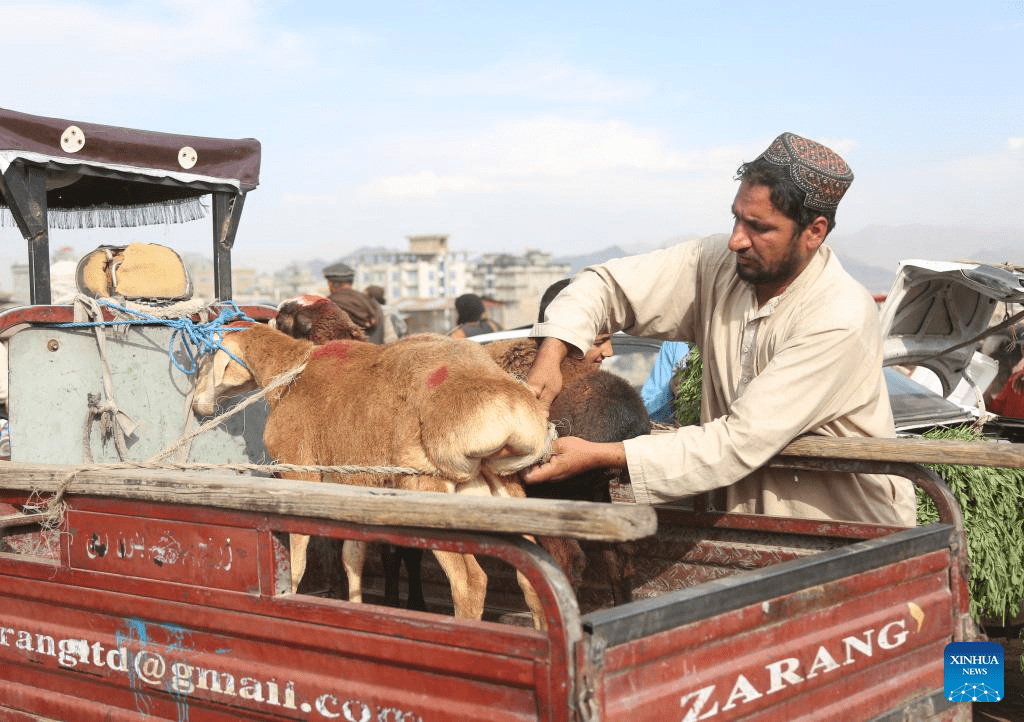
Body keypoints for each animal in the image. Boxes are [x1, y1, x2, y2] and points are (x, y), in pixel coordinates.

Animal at [194, 325, 557, 626]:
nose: (197, 405)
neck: (291, 371)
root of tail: (507, 408)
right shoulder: (353, 485)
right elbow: (352, 557)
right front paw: (355, 607)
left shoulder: (299, 473)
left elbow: (296, 557)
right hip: (501, 488)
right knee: (532, 580)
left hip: (426, 486)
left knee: (470, 582)